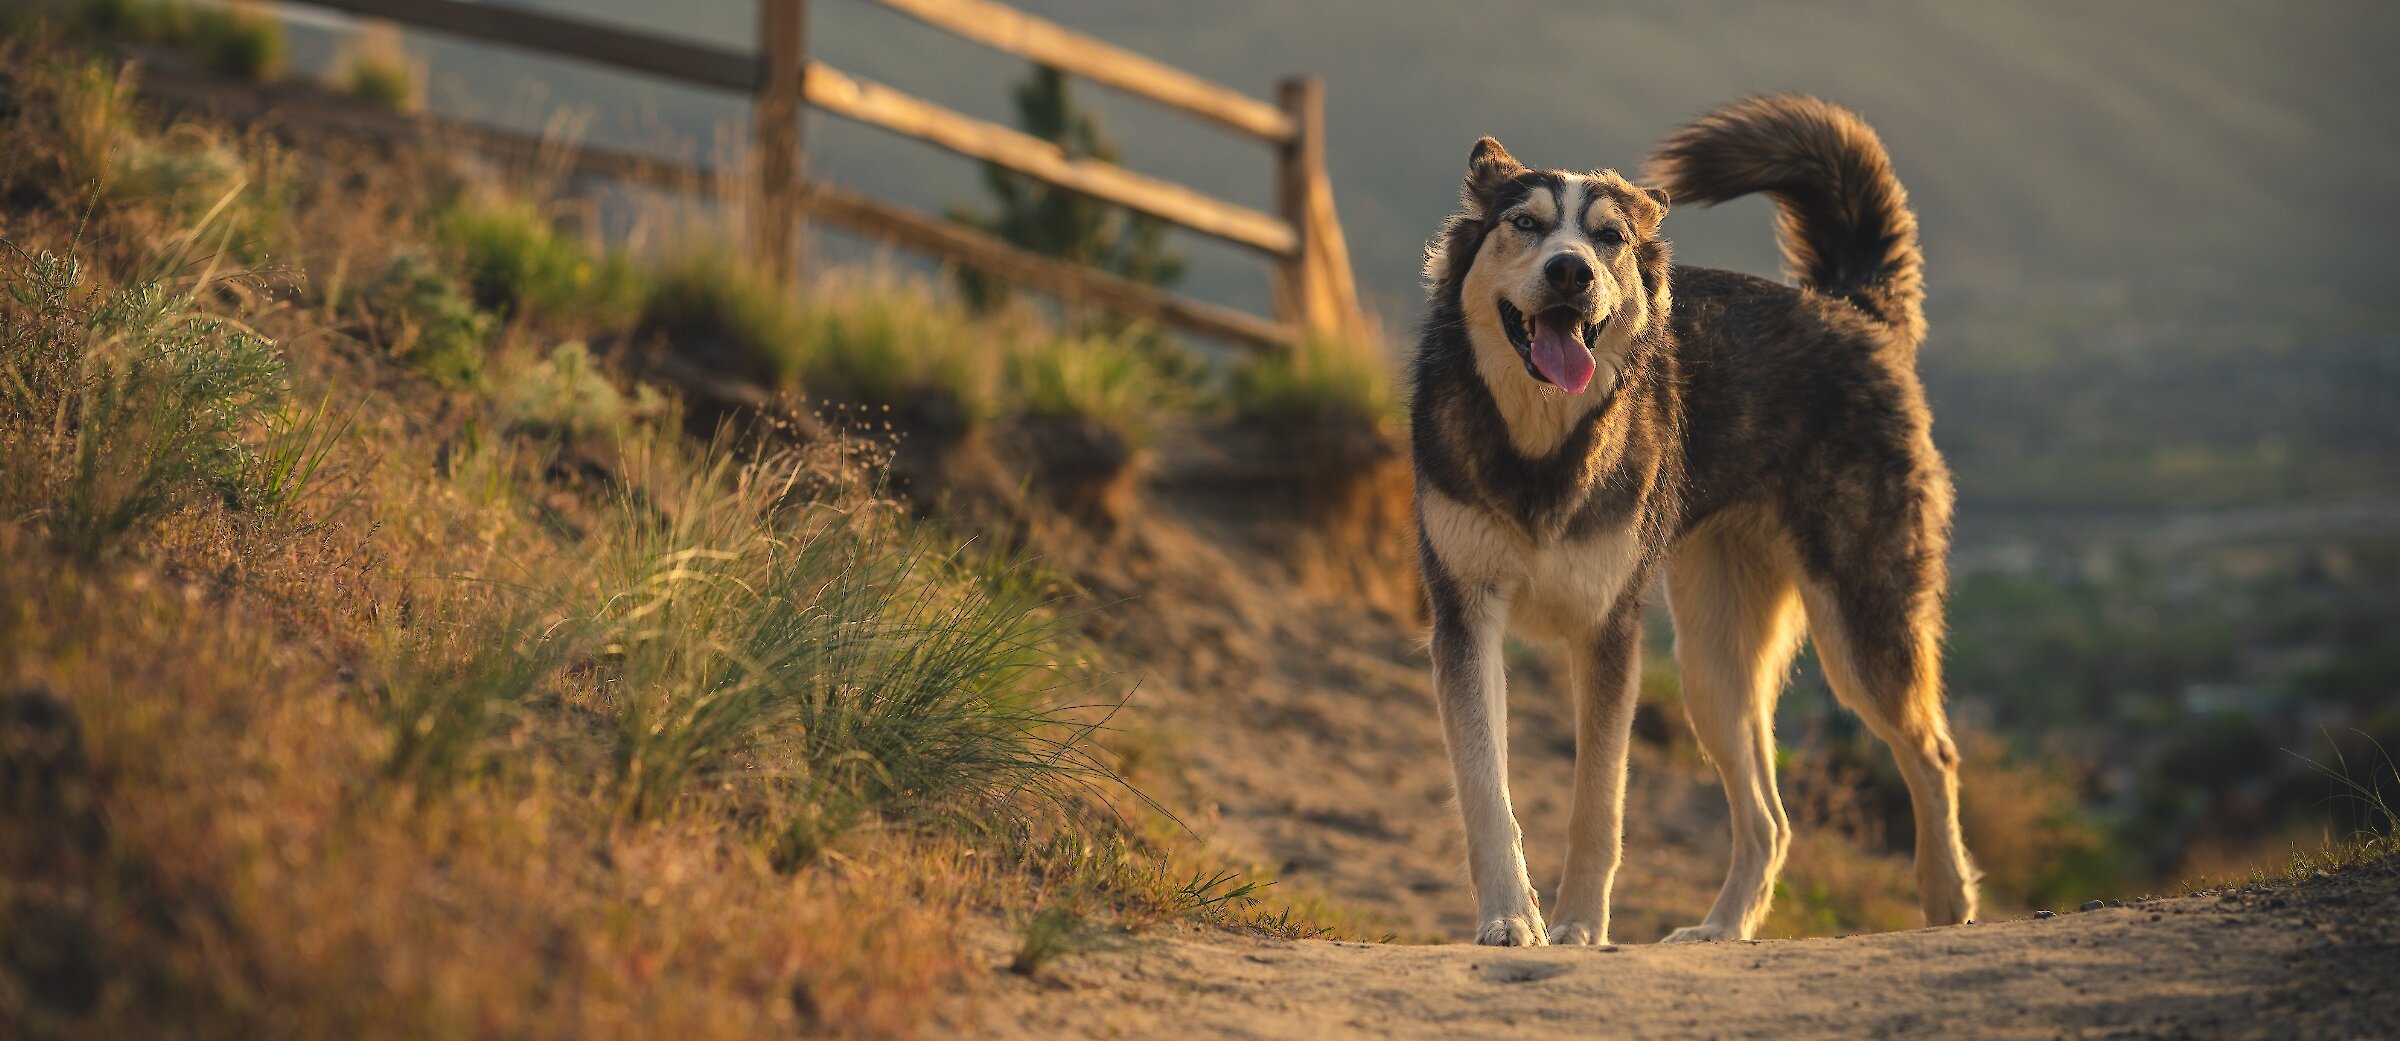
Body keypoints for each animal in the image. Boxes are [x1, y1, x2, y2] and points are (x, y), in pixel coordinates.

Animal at [1411, 95, 1977, 945]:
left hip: (1861, 633)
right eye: (1525, 224)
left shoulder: (1608, 632)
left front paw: (1579, 926)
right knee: (1772, 820)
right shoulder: (1465, 619)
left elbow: (1598, 805)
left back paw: (1947, 900)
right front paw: (1511, 918)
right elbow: (1487, 793)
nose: (1571, 271)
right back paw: (1723, 928)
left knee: (1932, 753)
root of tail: (1850, 308)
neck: (1542, 447)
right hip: (1713, 670)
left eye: (1608, 237)